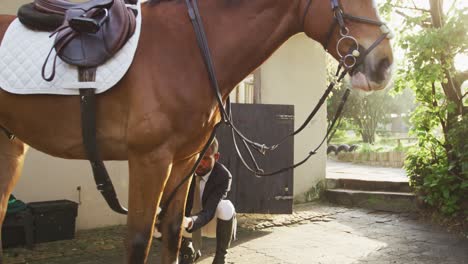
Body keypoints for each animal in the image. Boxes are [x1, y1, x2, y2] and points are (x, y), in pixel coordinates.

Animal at [0, 0, 394, 262]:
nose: (385, 64)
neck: (185, 49)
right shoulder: (149, 160)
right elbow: (140, 239)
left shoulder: (183, 160)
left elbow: (174, 232)